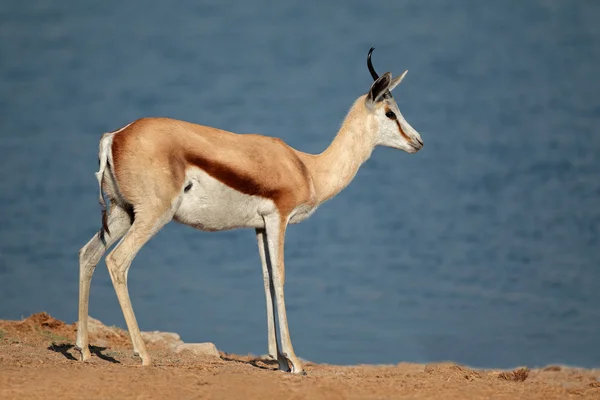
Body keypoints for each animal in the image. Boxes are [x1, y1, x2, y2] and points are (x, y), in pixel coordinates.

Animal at [75, 47, 422, 376]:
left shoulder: (259, 226)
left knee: (87, 254)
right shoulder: (279, 218)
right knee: (117, 262)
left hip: (122, 214)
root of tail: (115, 136)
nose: (418, 141)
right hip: (152, 216)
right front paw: (295, 362)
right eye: (390, 112)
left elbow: (266, 279)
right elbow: (280, 277)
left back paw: (84, 350)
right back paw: (143, 355)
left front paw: (278, 360)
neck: (308, 169)